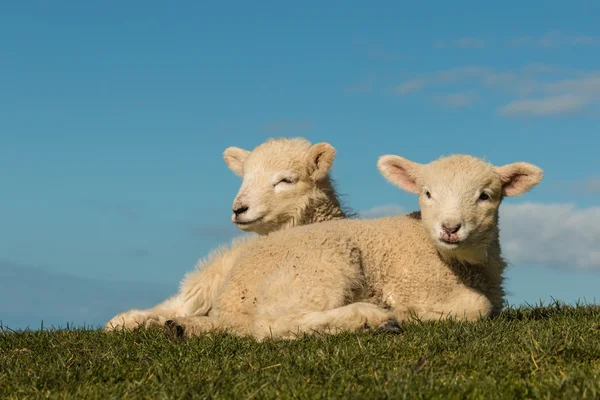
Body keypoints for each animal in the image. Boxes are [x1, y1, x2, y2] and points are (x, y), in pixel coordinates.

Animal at [105, 138, 354, 332]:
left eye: (286, 180)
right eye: (245, 178)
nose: (239, 209)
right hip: (209, 278)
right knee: (180, 305)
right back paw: (129, 320)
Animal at [163, 152, 544, 340]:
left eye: (485, 196)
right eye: (427, 193)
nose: (450, 228)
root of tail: (230, 299)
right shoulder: (412, 284)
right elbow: (478, 307)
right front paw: (408, 313)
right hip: (320, 269)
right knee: (272, 325)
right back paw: (373, 318)